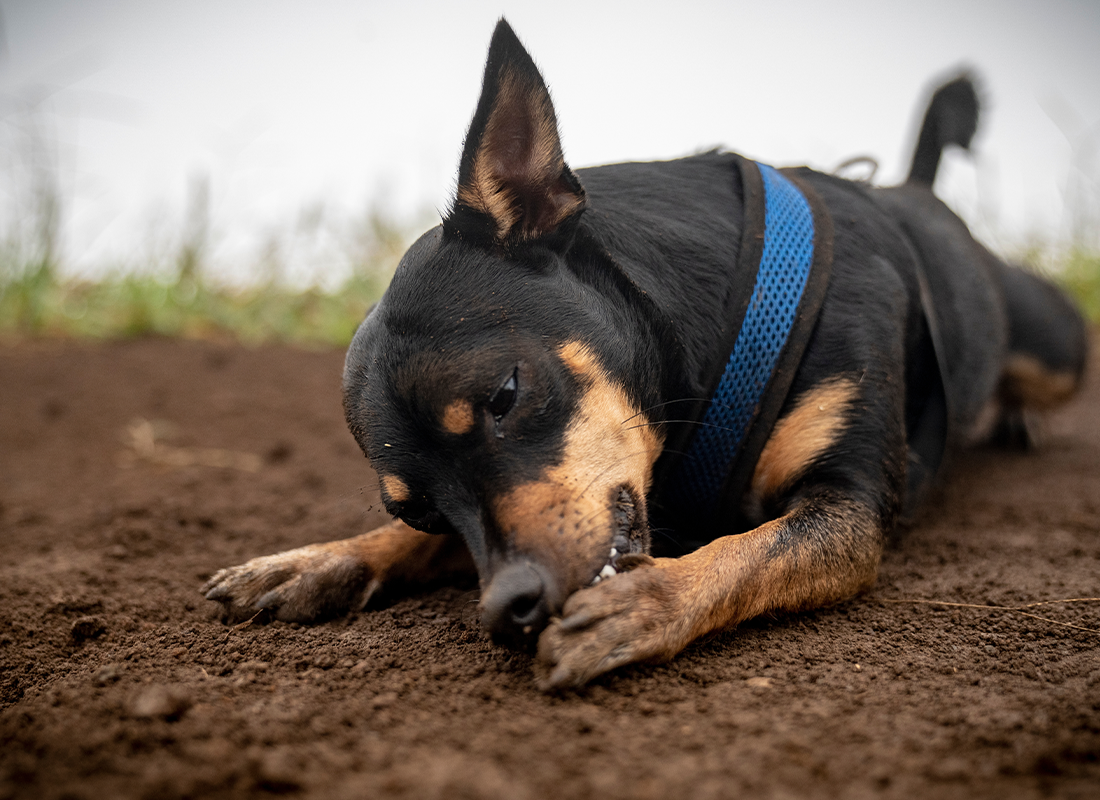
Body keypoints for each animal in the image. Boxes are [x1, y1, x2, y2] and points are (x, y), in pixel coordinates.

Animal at [202, 21, 1086, 691]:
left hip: (1056, 348)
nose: (507, 608)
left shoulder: (849, 509)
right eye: (416, 509)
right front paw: (321, 558)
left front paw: (648, 600)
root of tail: (912, 190)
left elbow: (741, 552)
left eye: (505, 395)